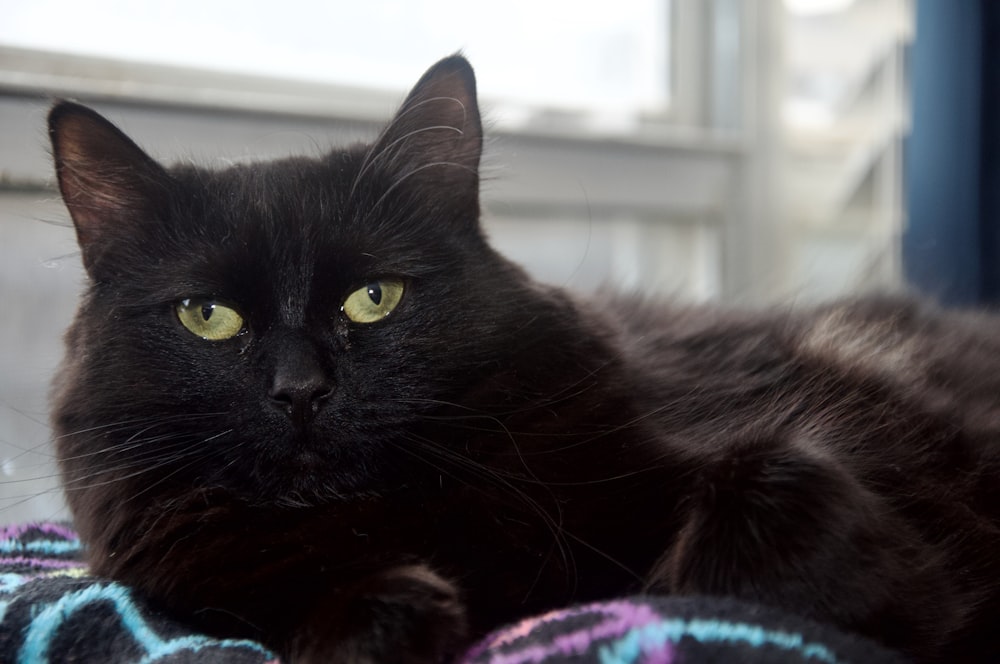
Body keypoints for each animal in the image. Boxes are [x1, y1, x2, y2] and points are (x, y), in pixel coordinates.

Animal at [48, 54, 1000, 660]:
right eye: (207, 316)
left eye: (374, 298)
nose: (300, 391)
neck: (402, 514)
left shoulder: (802, 467)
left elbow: (743, 543)